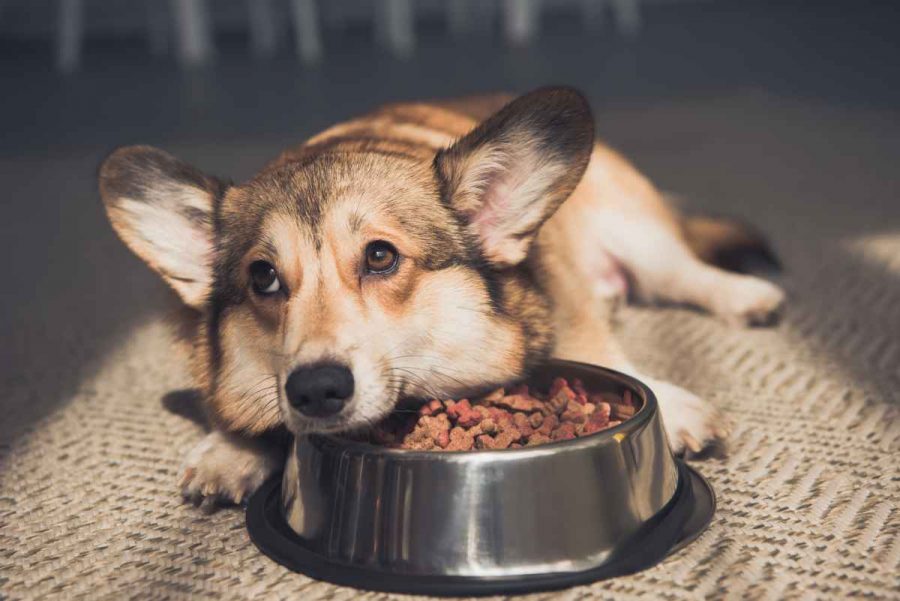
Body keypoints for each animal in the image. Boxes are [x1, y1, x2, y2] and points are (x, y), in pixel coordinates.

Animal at [98, 86, 784, 508]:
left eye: (380, 256)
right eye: (264, 278)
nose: (316, 390)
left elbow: (601, 349)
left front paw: (675, 406)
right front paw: (231, 452)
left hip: (635, 229)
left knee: (685, 271)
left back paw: (747, 295)